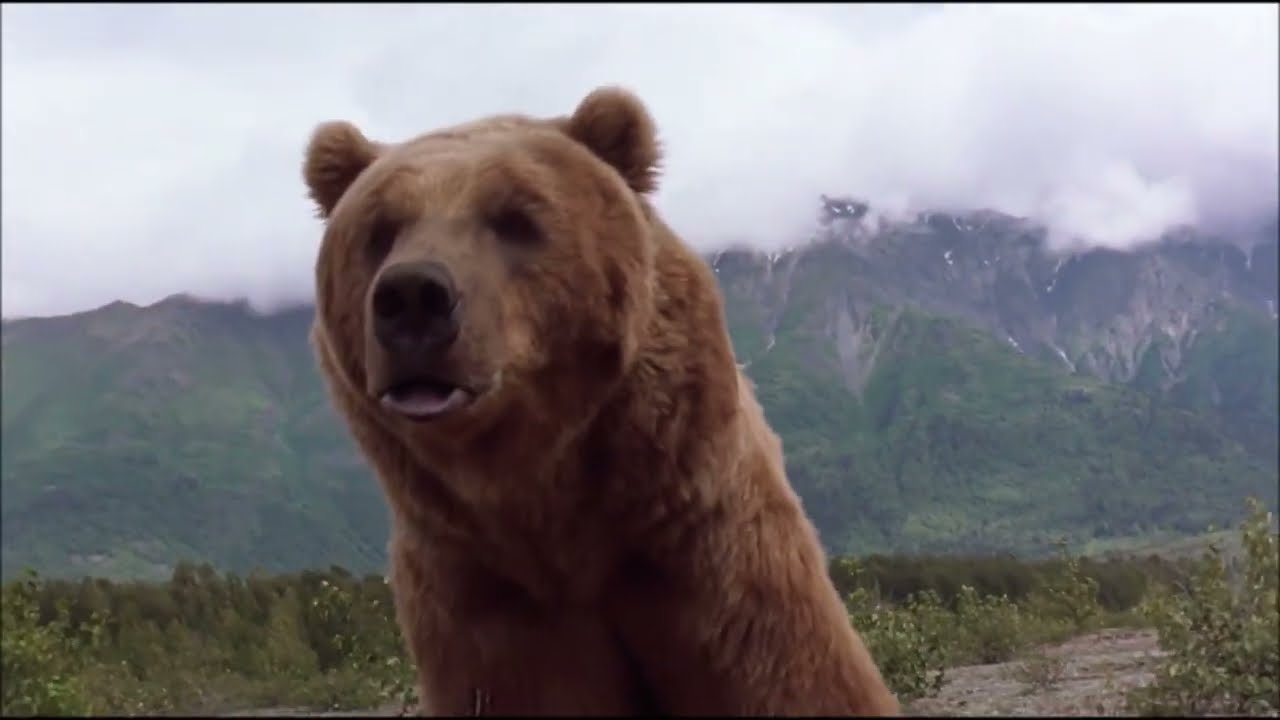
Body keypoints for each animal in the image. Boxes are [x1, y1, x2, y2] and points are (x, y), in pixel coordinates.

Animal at [301, 86, 901, 717]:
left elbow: (786, 673)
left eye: (514, 218)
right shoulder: (485, 586)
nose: (413, 295)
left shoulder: (699, 535)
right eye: (380, 229)